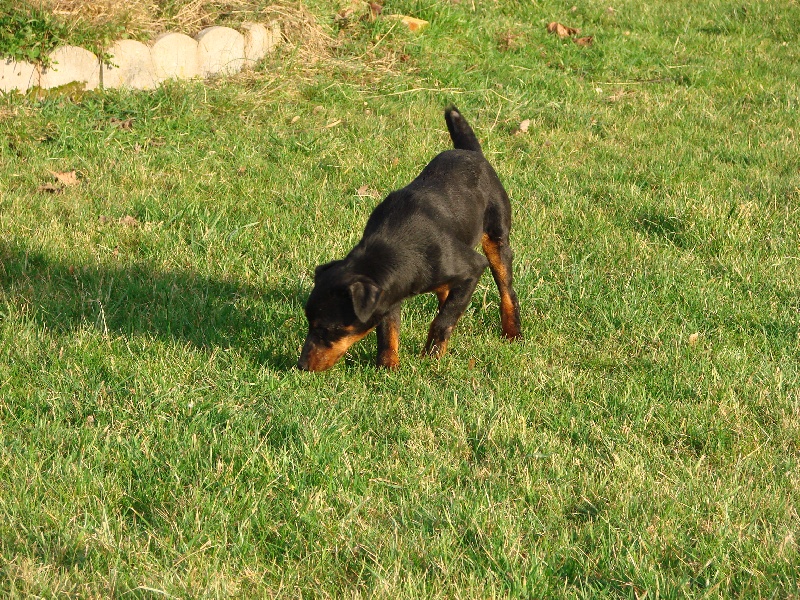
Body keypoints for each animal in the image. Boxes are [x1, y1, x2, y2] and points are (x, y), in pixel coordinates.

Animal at [296, 106, 520, 370]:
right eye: (308, 322)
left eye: (330, 329)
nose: (301, 366)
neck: (397, 245)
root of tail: (472, 152)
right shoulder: (390, 292)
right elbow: (388, 330)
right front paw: (388, 366)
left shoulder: (473, 268)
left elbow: (443, 320)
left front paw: (431, 356)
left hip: (496, 239)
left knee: (507, 290)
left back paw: (512, 332)